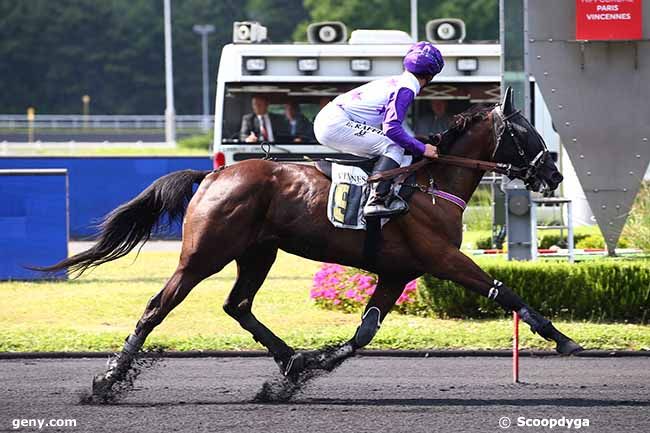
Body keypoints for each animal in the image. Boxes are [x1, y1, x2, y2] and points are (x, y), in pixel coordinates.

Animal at [39, 88, 576, 394]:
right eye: (527, 133)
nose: (551, 174)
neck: (430, 184)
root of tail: (212, 175)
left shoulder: (397, 271)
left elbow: (363, 334)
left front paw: (306, 366)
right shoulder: (442, 258)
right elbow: (505, 291)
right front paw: (563, 338)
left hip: (258, 252)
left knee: (238, 305)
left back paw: (291, 361)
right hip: (204, 254)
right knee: (158, 306)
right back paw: (109, 380)